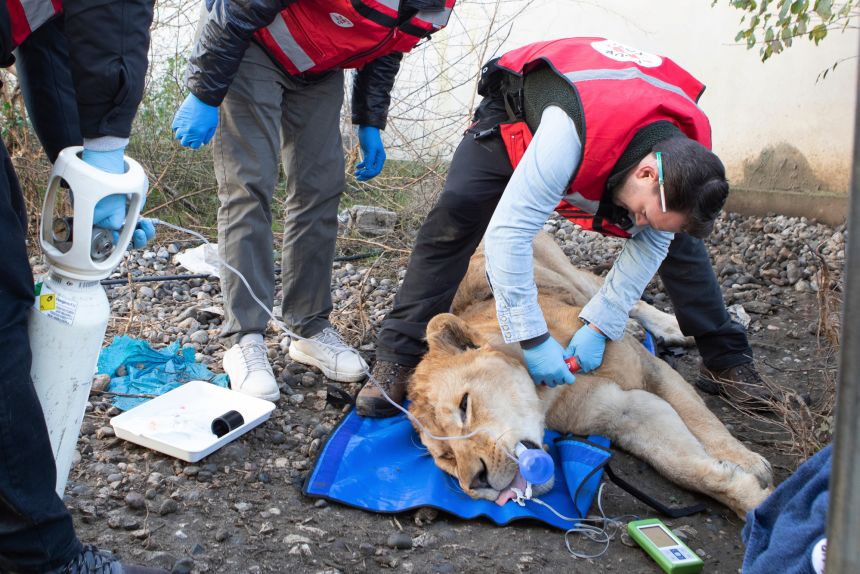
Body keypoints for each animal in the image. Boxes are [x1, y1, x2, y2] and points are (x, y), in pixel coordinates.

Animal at [407, 231, 773, 518]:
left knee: (615, 292)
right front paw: (756, 503)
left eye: (465, 406)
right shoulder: (625, 411)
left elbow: (702, 420)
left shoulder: (652, 371)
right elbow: (681, 465)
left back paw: (665, 327)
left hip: (569, 271)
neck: (548, 393)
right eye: (446, 457)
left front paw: (747, 462)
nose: (476, 481)